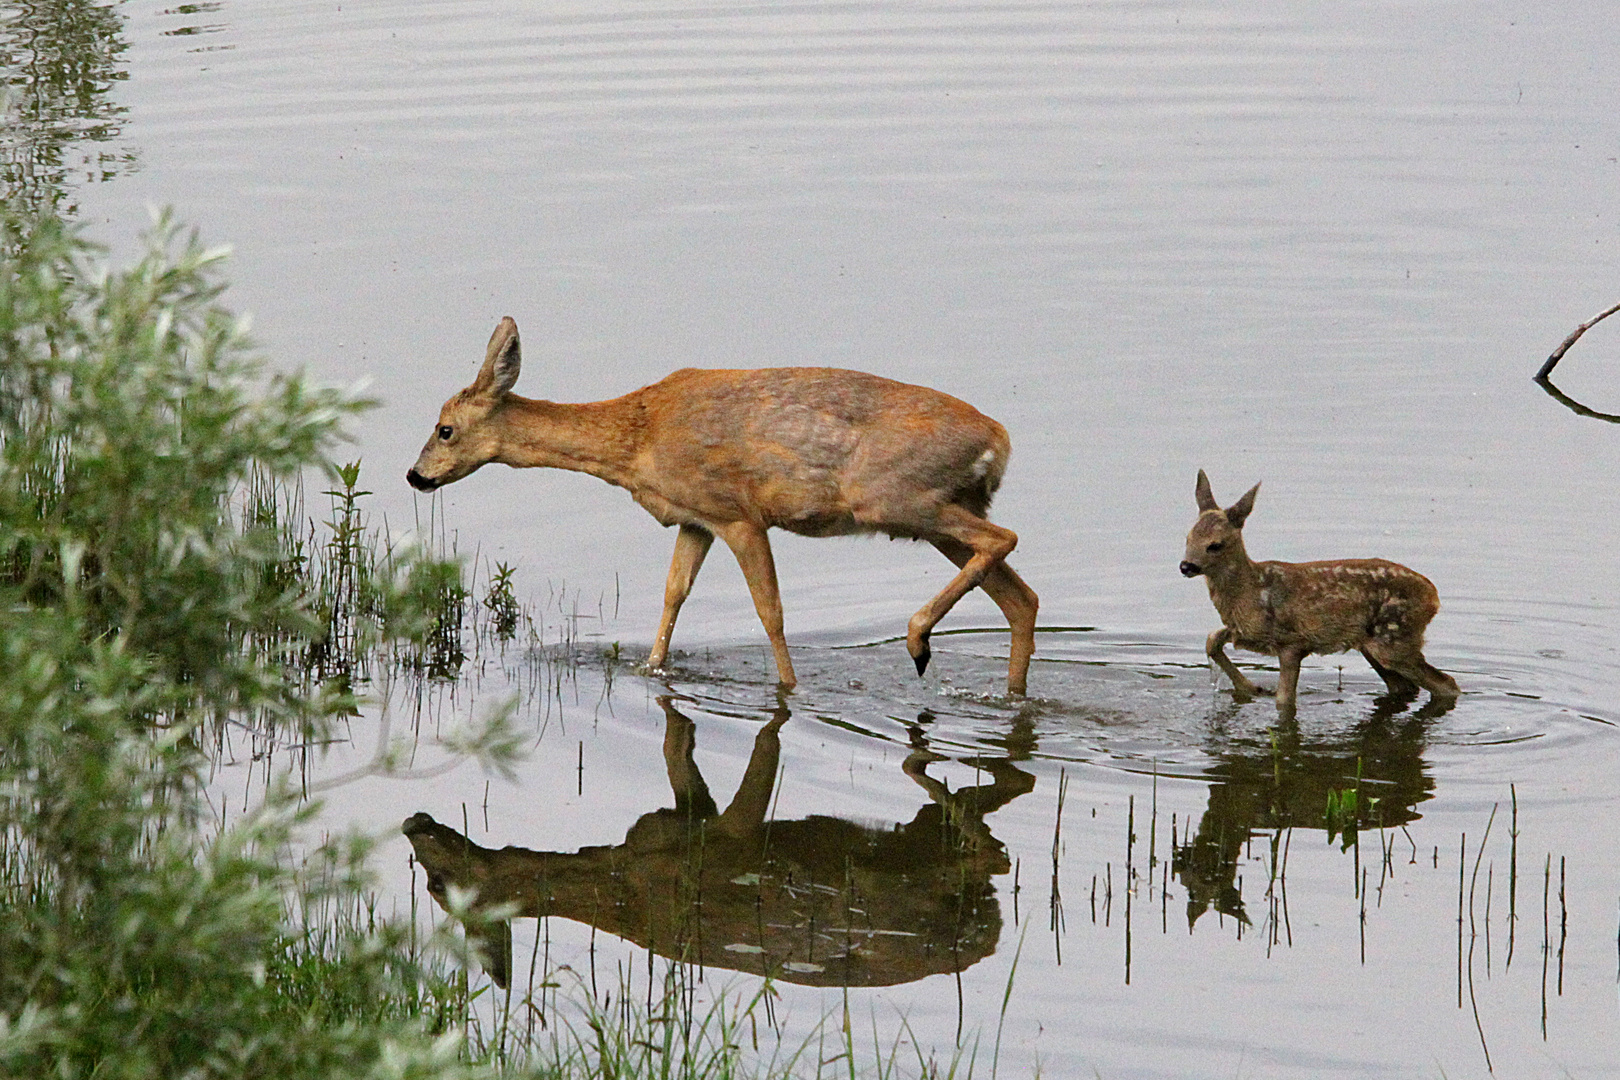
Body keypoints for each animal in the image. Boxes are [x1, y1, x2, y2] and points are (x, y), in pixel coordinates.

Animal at [405, 317, 1036, 696]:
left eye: (444, 429)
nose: (414, 476)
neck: (638, 440)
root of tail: (1000, 440)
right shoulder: (694, 519)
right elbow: (673, 595)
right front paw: (653, 668)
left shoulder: (738, 513)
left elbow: (771, 613)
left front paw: (788, 687)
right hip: (934, 513)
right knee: (1019, 595)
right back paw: (1006, 690)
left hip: (895, 498)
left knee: (1004, 541)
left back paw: (918, 639)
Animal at [1179, 469, 1458, 709]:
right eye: (1188, 538)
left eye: (1215, 544)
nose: (1186, 566)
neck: (1251, 592)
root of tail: (1434, 597)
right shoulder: (1244, 632)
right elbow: (1211, 640)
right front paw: (1252, 688)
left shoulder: (1291, 642)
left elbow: (1284, 700)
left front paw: (1257, 689)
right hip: (1371, 643)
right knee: (1404, 687)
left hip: (1394, 639)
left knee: (1446, 684)